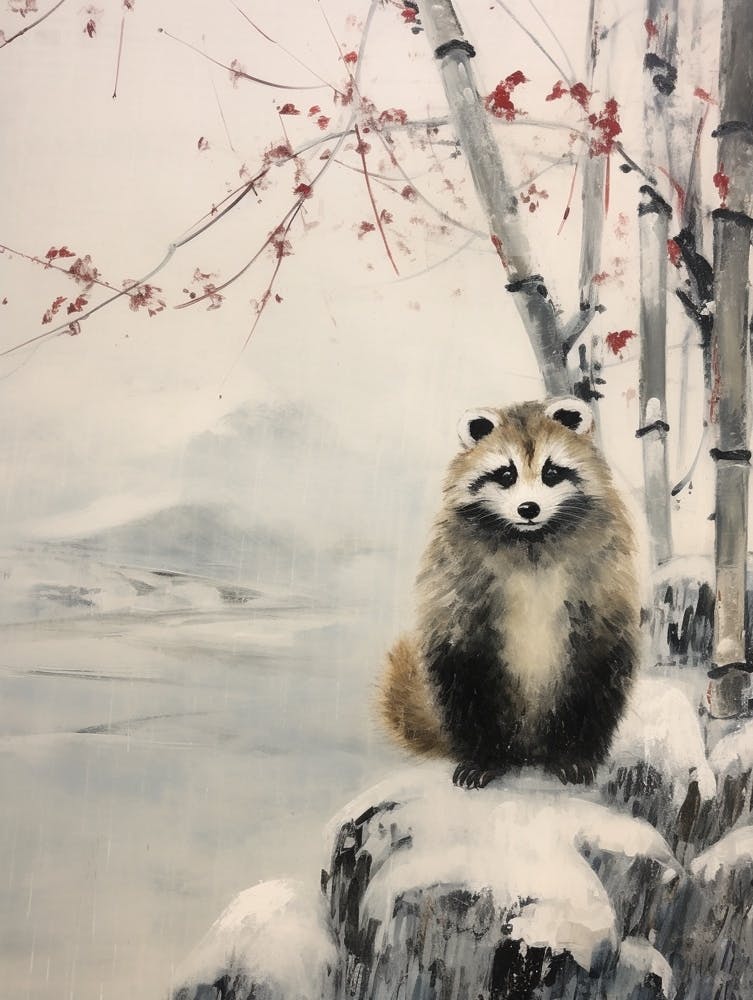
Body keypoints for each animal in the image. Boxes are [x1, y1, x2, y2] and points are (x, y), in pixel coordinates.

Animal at [379, 397, 639, 789]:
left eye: (551, 472)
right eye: (506, 474)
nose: (528, 509)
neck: (530, 538)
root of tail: (529, 748)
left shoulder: (602, 578)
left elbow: (594, 672)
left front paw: (575, 754)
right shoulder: (457, 579)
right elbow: (465, 666)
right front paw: (482, 756)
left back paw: (570, 752)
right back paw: (488, 754)